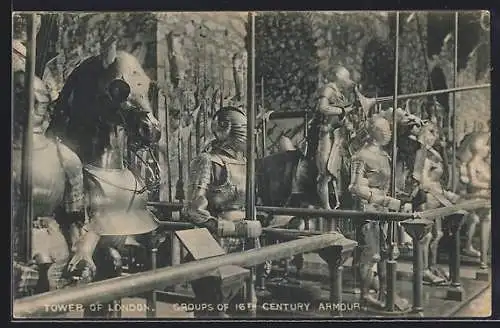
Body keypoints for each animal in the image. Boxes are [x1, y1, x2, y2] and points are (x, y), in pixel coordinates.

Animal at [46, 37, 161, 316]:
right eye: (119, 87)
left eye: (148, 86)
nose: (152, 130)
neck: (107, 166)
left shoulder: (118, 244)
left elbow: (113, 279)